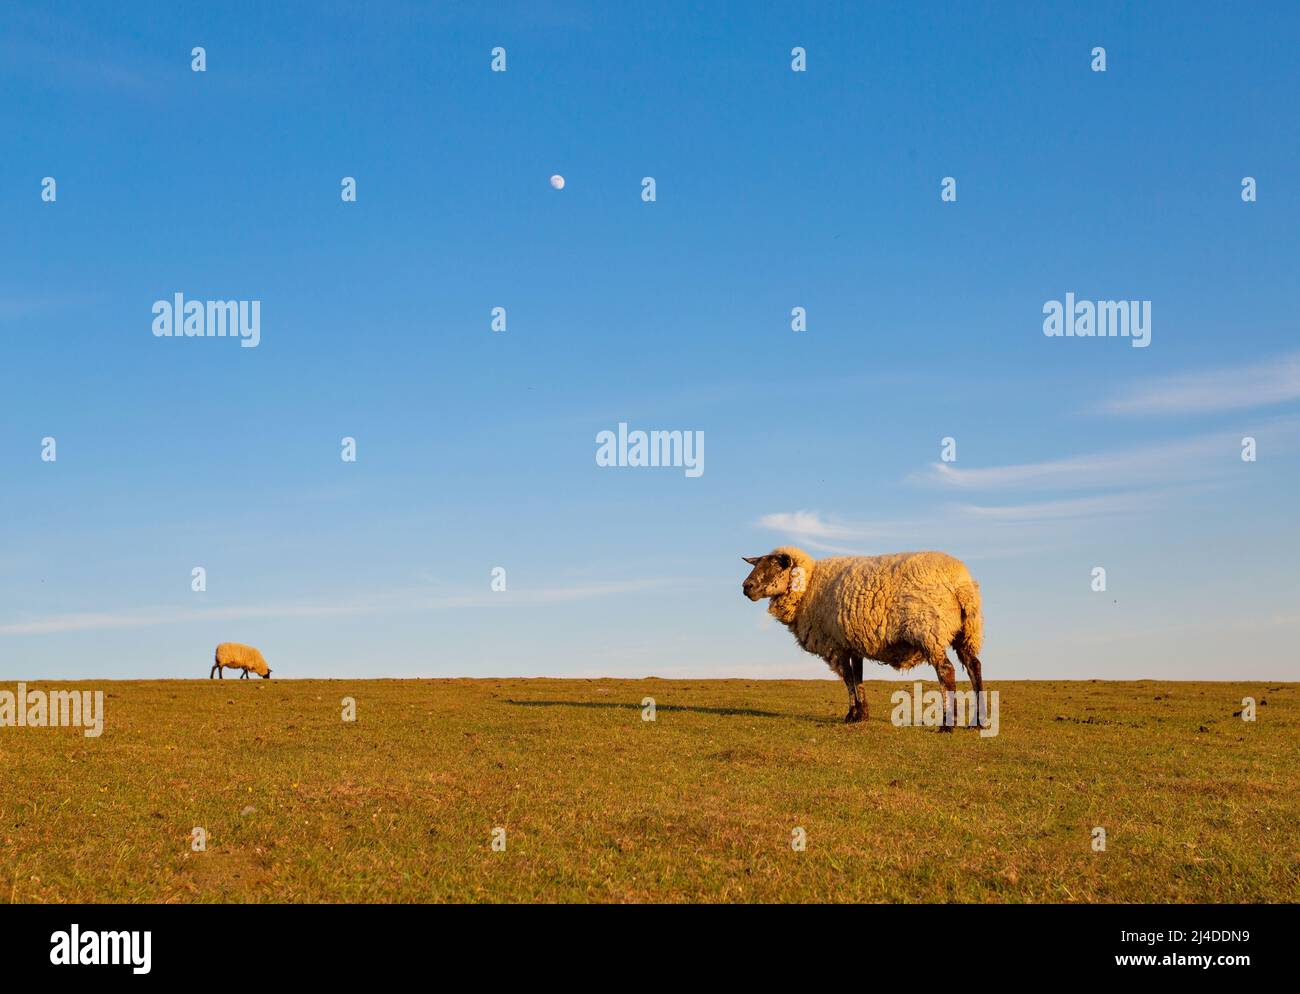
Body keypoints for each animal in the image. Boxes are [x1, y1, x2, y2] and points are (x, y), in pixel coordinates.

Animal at [741, 546, 983, 728]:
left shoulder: (835, 644)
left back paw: (947, 724)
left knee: (946, 671)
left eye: (774, 565)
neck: (809, 586)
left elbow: (848, 679)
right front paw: (862, 715)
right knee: (974, 666)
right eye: (758, 563)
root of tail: (961, 583)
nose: (746, 587)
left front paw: (851, 715)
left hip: (929, 630)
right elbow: (859, 678)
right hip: (966, 632)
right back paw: (977, 721)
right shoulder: (853, 643)